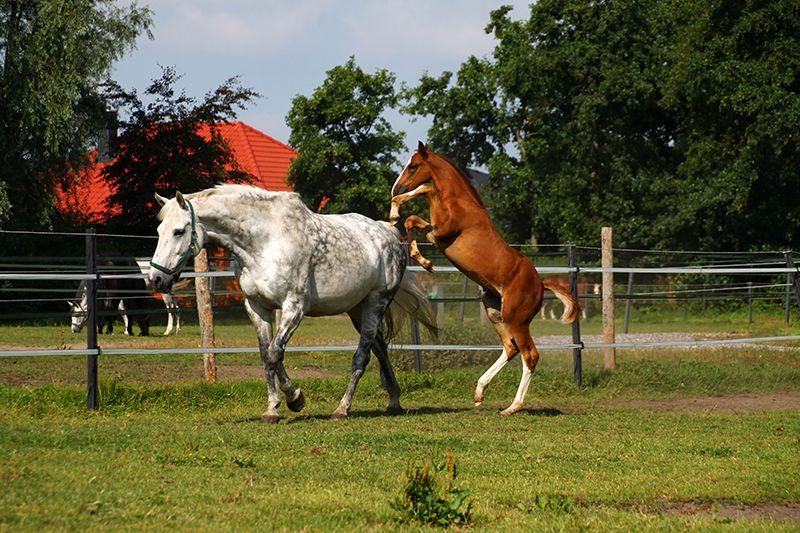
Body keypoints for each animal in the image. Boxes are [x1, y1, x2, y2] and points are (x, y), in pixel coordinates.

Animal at [148, 185, 438, 422]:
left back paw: (342, 408)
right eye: (159, 230)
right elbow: (267, 354)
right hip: (358, 308)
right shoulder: (257, 307)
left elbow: (275, 353)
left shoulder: (294, 307)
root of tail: (389, 233)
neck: (263, 242)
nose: (156, 279)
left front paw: (292, 399)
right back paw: (394, 400)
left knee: (363, 356)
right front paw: (275, 407)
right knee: (379, 347)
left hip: (377, 302)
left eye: (179, 231)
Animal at [390, 142, 580, 416]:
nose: (396, 188)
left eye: (413, 166)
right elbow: (415, 212)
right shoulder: (436, 229)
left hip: (516, 319)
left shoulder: (442, 231)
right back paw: (480, 392)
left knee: (530, 355)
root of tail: (540, 284)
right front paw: (420, 255)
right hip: (494, 311)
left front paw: (423, 259)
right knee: (511, 348)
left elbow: (418, 207)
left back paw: (512, 407)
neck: (461, 202)